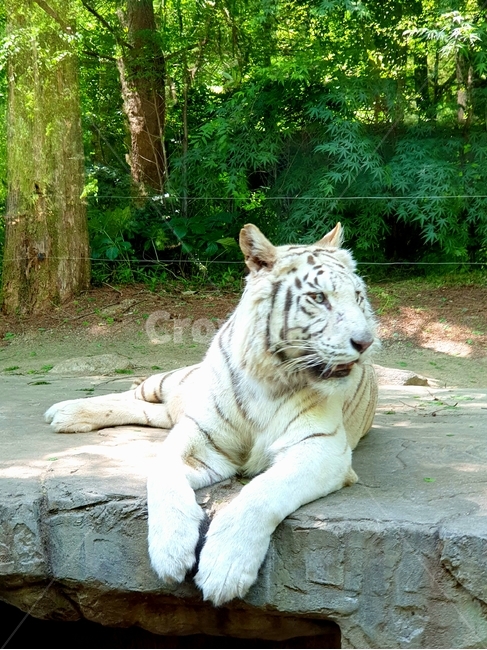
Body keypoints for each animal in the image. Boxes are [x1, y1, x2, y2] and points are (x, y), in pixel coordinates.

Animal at [45, 222, 379, 607]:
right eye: (319, 297)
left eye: (358, 296)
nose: (366, 342)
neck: (270, 376)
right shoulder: (200, 434)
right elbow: (161, 471)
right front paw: (170, 550)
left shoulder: (322, 448)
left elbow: (263, 491)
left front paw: (225, 566)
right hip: (175, 382)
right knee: (137, 394)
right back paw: (64, 411)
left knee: (154, 412)